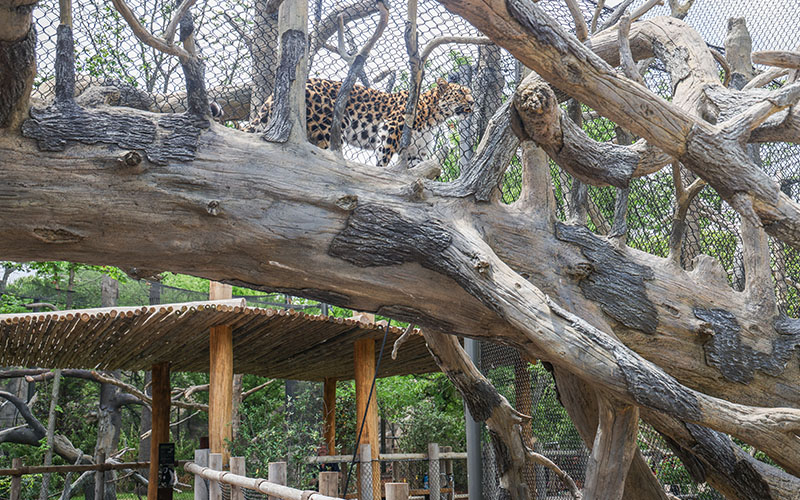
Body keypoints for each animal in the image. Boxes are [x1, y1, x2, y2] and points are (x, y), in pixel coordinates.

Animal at [244, 77, 474, 167]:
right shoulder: (391, 126)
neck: (435, 116)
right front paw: (380, 172)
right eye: (461, 93)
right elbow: (383, 156)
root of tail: (271, 98)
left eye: (469, 94)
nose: (473, 102)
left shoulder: (417, 151)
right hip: (326, 126)